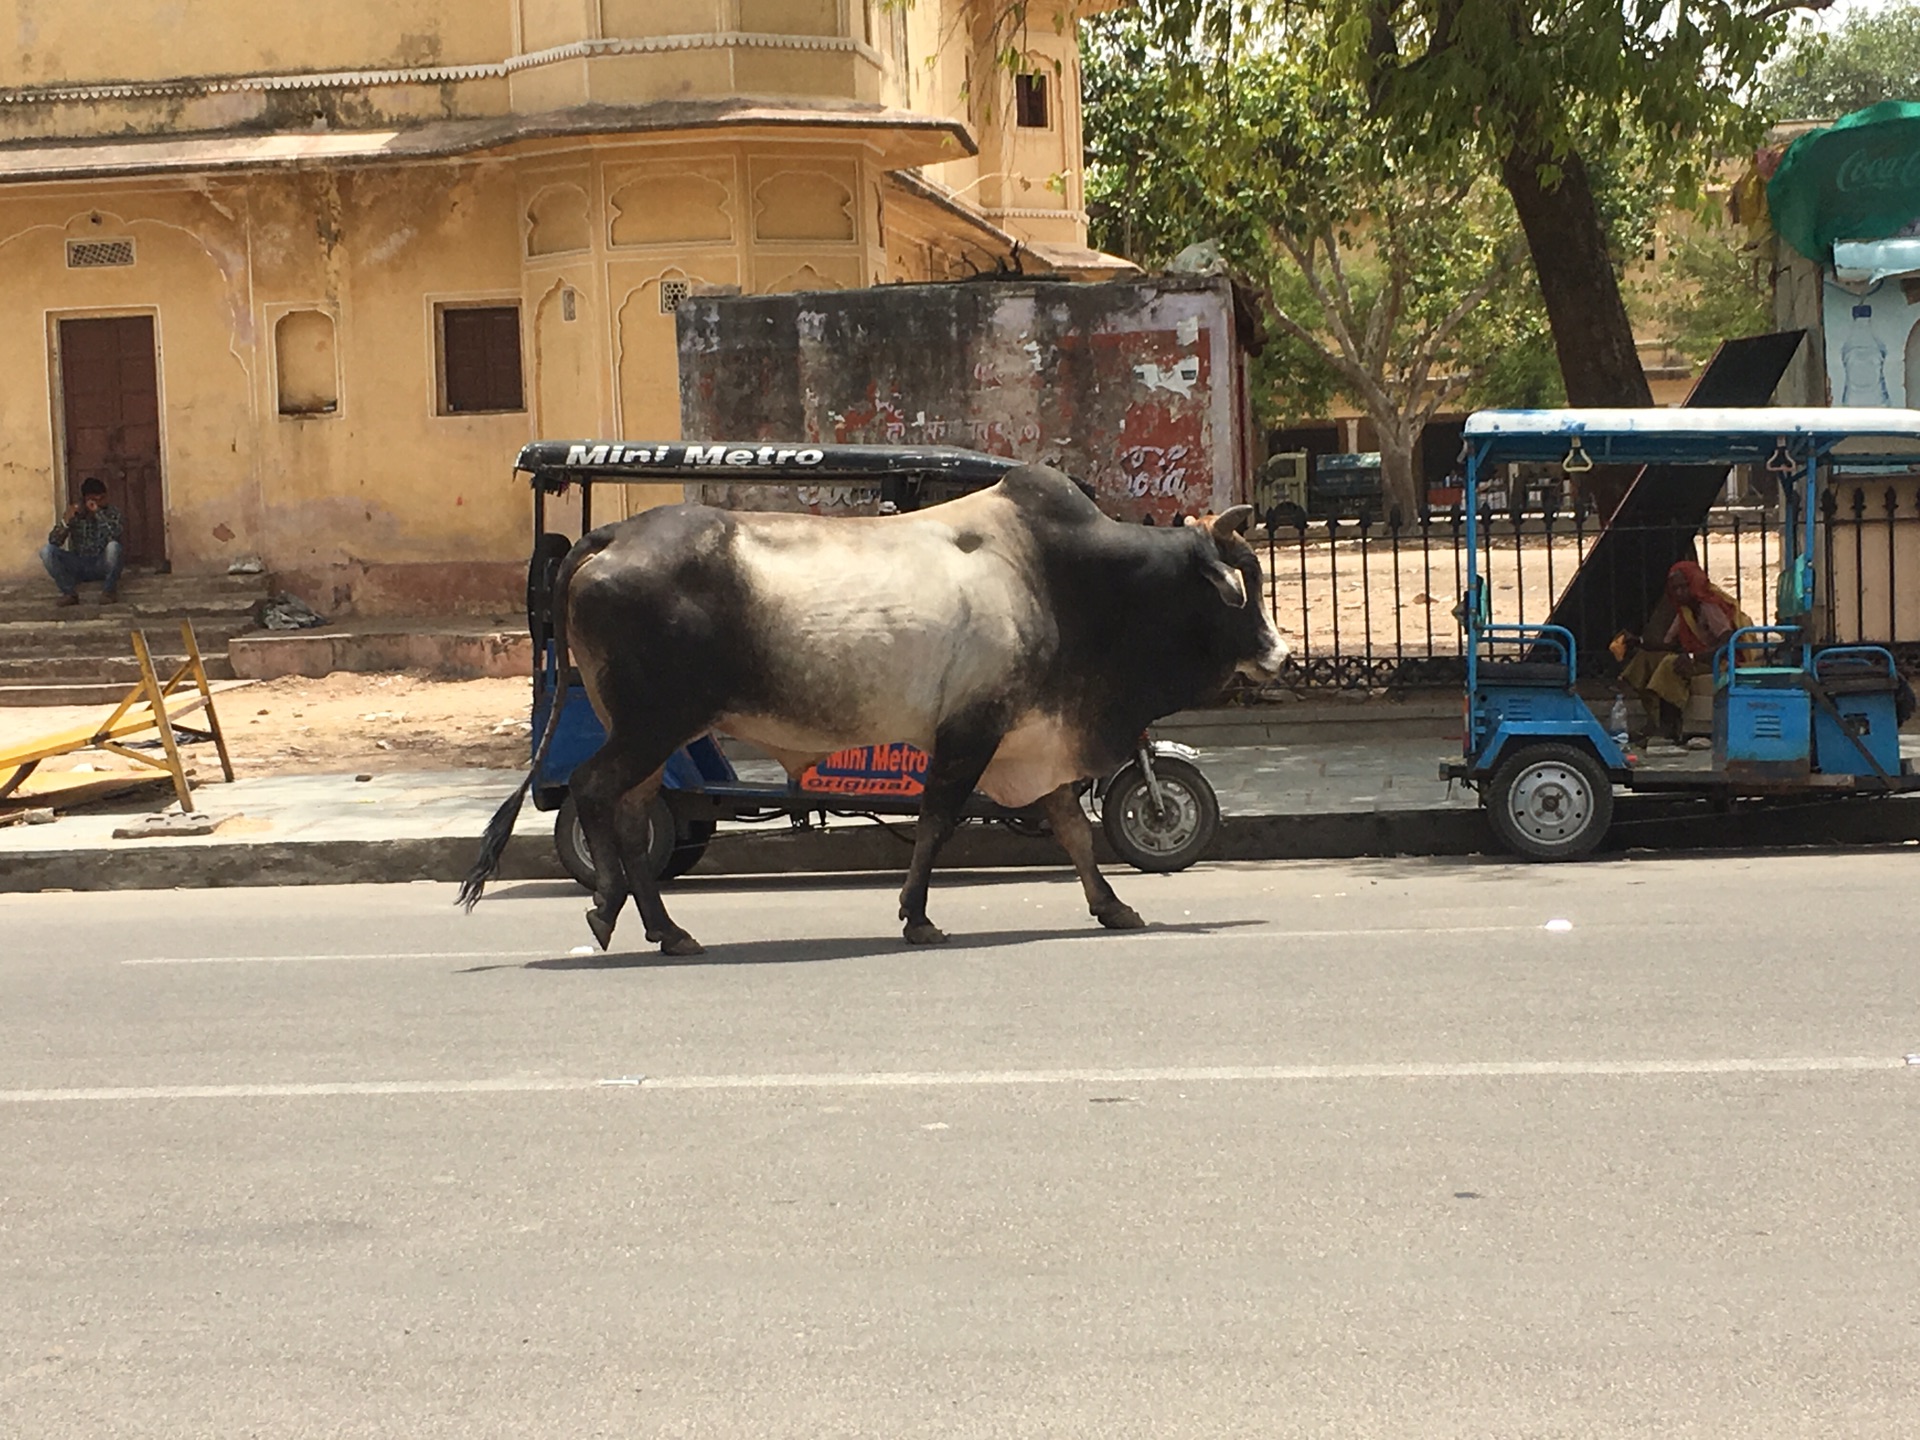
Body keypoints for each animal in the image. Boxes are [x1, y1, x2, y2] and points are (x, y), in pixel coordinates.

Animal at [456, 468, 1282, 952]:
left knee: (629, 817)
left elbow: (1076, 833)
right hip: (649, 726)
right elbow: (939, 822)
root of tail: (609, 534)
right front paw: (916, 915)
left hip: (651, 736)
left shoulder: (1033, 736)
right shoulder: (971, 732)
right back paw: (605, 907)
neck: (1068, 579)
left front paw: (1112, 908)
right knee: (595, 795)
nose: (1277, 654)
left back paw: (667, 928)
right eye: (1241, 585)